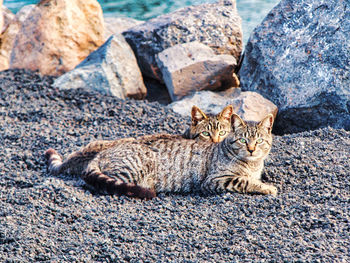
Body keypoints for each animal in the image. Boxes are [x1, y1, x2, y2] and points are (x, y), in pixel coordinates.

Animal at [45, 112, 278, 200]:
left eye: (260, 141)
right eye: (243, 140)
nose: (251, 149)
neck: (252, 164)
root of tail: (101, 154)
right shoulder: (215, 180)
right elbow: (243, 181)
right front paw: (266, 187)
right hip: (131, 170)